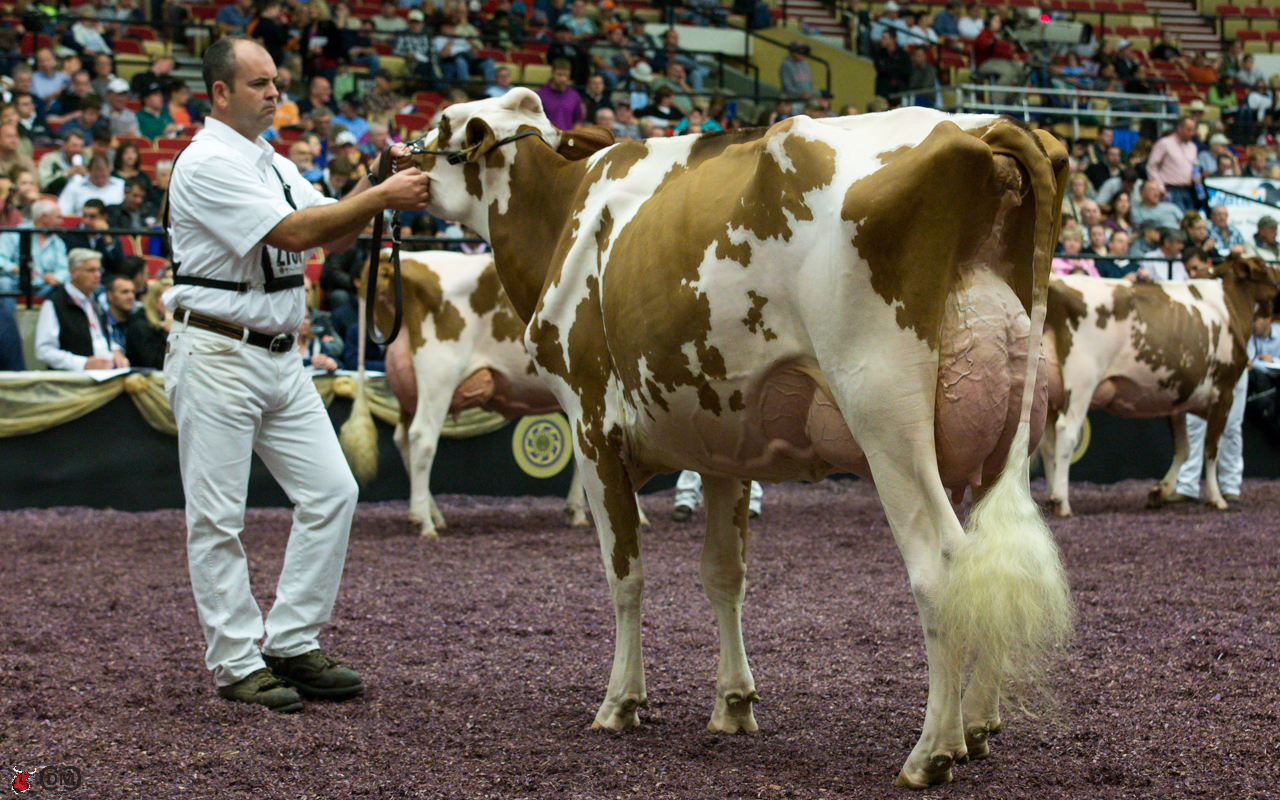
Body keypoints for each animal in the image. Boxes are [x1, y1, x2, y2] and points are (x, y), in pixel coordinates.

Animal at [412, 92, 1074, 788]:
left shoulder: (591, 426)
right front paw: (732, 703)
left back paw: (932, 751)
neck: (565, 213)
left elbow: (625, 574)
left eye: (441, 124)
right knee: (987, 566)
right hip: (1003, 432)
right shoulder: (720, 448)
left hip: (887, 416)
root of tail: (986, 126)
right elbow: (724, 574)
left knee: (941, 565)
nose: (395, 158)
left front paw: (621, 701)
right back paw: (978, 725)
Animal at [1039, 255, 1279, 516]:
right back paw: (1061, 501)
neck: (1230, 305)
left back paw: (1049, 498)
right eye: (1265, 267)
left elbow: (1184, 449)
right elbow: (1210, 448)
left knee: (1047, 442)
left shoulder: (1177, 398)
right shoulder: (1224, 392)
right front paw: (1216, 498)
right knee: (1067, 433)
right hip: (1082, 381)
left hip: (1052, 391)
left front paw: (1160, 492)